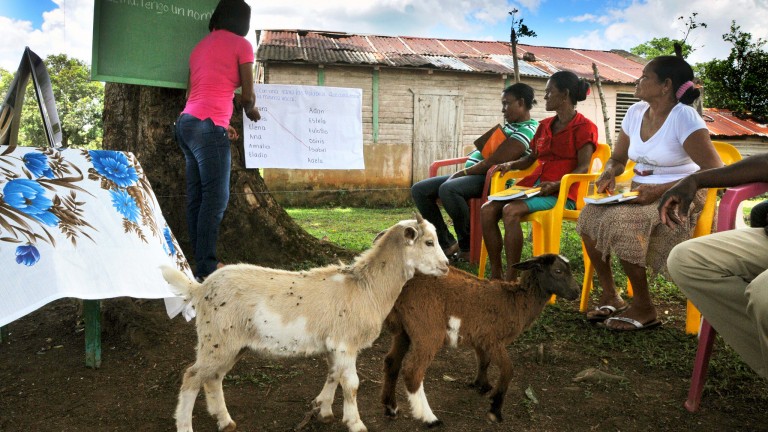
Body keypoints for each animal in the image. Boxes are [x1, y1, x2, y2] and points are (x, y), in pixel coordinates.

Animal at [162, 216, 450, 432]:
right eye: (429, 242)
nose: (447, 265)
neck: (367, 287)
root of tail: (200, 289)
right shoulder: (345, 343)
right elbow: (352, 384)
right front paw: (355, 423)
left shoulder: (334, 345)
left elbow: (334, 375)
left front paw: (324, 410)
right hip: (217, 338)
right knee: (192, 376)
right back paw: (186, 426)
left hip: (229, 343)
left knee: (213, 378)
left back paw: (225, 421)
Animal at [380, 253, 580, 426]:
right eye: (558, 271)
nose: (576, 292)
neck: (516, 301)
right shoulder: (493, 339)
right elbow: (508, 370)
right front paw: (495, 410)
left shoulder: (480, 339)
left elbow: (484, 361)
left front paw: (481, 385)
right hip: (427, 329)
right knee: (412, 371)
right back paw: (430, 419)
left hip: (404, 331)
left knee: (391, 363)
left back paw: (391, 408)